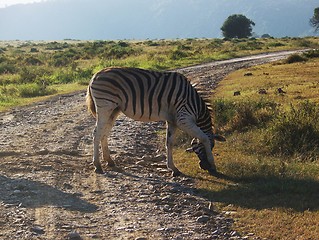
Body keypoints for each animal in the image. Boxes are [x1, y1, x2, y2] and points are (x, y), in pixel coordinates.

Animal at [85, 67, 225, 176]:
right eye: (212, 146)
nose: (204, 167)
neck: (196, 107)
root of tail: (95, 75)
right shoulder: (183, 119)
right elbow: (204, 137)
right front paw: (213, 165)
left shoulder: (173, 120)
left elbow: (169, 143)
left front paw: (173, 168)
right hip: (105, 106)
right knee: (96, 133)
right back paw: (98, 165)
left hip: (113, 110)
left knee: (104, 133)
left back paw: (109, 161)